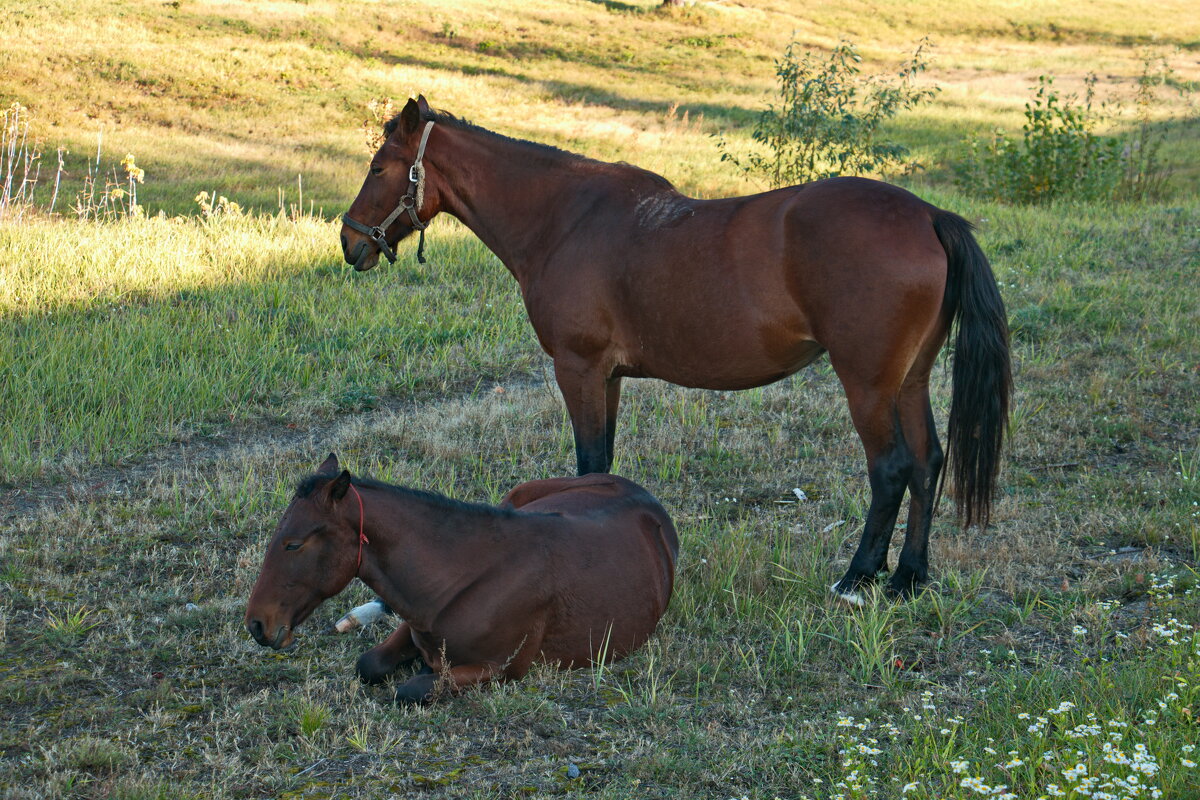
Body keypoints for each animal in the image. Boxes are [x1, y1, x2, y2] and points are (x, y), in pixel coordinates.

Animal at [243, 453, 676, 705]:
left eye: (293, 544)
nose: (257, 625)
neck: (463, 577)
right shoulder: (413, 623)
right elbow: (369, 664)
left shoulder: (503, 670)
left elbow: (413, 688)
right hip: (515, 495)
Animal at [340, 97, 1012, 599]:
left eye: (378, 167)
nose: (350, 243)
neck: (564, 218)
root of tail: (927, 215)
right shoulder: (608, 377)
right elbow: (602, 464)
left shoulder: (579, 369)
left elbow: (588, 462)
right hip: (910, 380)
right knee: (927, 463)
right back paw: (909, 577)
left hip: (868, 384)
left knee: (892, 468)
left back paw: (858, 577)